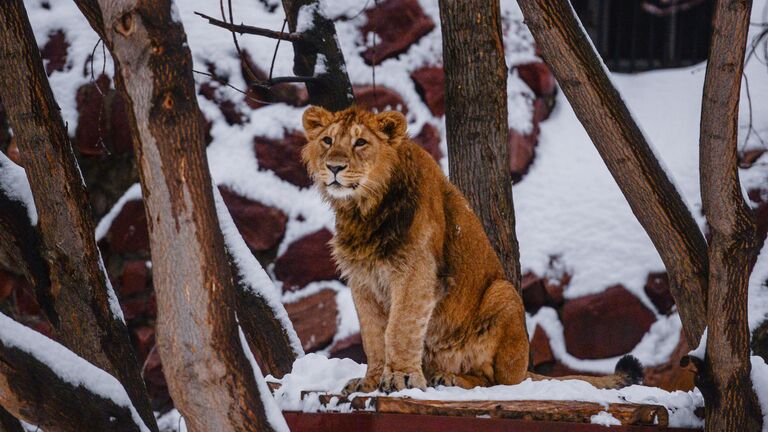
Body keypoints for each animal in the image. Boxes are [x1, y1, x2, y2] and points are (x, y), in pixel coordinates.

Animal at [300, 106, 640, 394]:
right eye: (328, 140)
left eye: (360, 142)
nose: (334, 167)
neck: (363, 212)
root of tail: (524, 370)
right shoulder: (363, 280)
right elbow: (373, 336)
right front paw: (370, 383)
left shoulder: (416, 272)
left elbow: (400, 328)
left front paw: (401, 378)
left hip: (504, 294)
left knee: (497, 382)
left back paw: (449, 377)